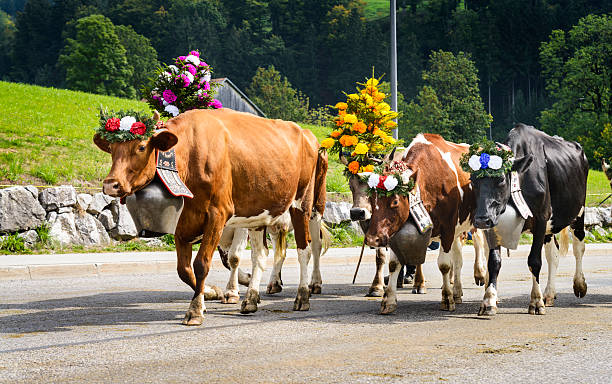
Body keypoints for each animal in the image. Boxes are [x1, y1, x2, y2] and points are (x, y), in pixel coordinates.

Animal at [94, 109, 328, 328]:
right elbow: (184, 270)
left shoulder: (218, 214)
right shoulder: (183, 222)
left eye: (141, 147)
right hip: (259, 212)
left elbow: (202, 264)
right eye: (112, 148)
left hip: (304, 204)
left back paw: (303, 295)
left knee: (306, 249)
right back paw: (251, 299)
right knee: (260, 254)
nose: (110, 184)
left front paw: (196, 310)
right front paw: (211, 292)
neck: (188, 156)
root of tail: (304, 132)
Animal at [364, 134, 474, 314]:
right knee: (458, 260)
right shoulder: (396, 232)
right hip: (459, 230)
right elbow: (394, 264)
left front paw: (447, 298)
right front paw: (388, 300)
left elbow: (444, 265)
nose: (373, 239)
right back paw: (457, 293)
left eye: (395, 201)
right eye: (372, 200)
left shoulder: (447, 229)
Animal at [474, 124, 588, 316]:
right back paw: (549, 294)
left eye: (501, 179)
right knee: (553, 254)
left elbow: (534, 261)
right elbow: (494, 262)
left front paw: (536, 301)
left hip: (578, 212)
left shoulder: (541, 218)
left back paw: (579, 285)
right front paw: (489, 300)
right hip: (551, 225)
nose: (481, 219)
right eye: (473, 180)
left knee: (579, 246)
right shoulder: (494, 224)